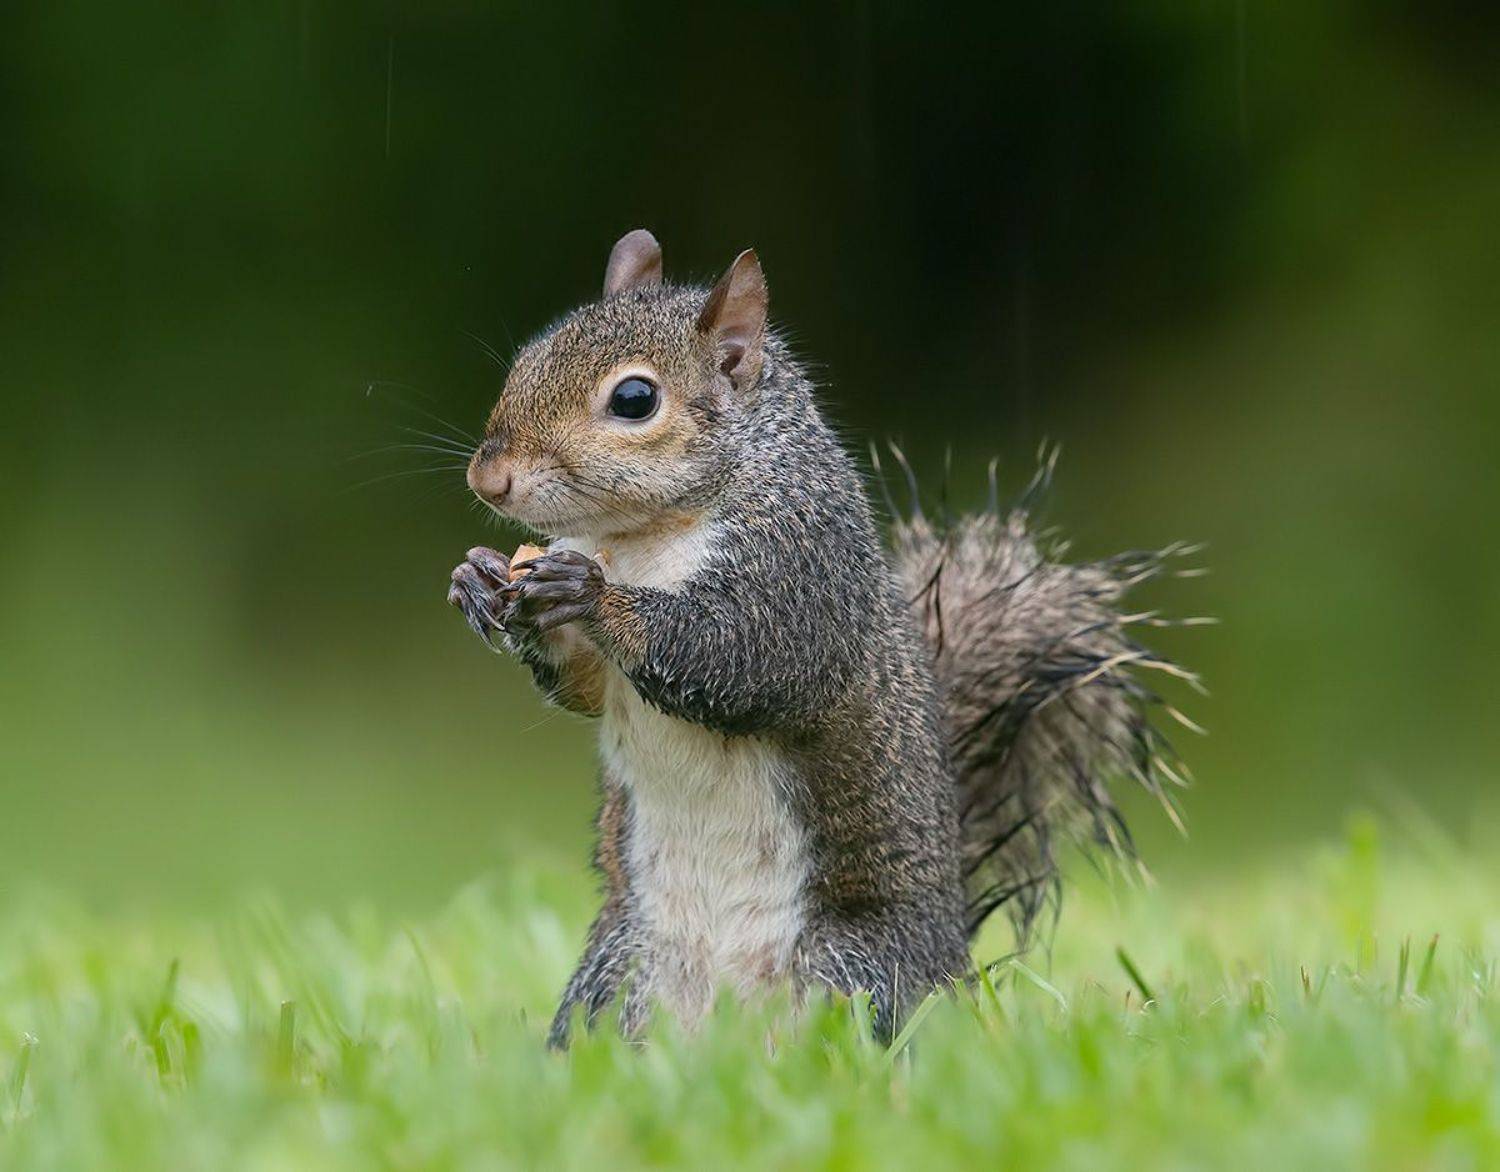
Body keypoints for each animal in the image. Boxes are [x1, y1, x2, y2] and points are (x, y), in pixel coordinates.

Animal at [447, 230, 1198, 1046]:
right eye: (527, 359)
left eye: (634, 400)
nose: (488, 479)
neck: (642, 536)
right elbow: (584, 687)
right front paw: (479, 579)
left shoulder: (804, 569)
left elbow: (745, 659)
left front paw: (591, 597)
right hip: (616, 977)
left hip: (850, 975)